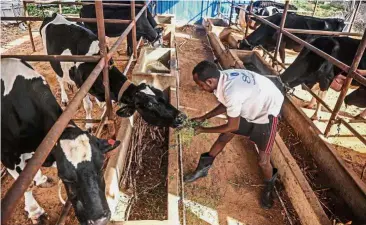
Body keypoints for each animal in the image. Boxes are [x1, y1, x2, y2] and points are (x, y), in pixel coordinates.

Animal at [1, 58, 121, 225]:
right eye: (65, 178)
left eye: (101, 167)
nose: (100, 220)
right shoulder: (8, 155)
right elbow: (24, 185)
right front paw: (35, 211)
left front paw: (40, 178)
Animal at [40, 13, 186, 130]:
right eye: (149, 104)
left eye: (162, 94)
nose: (181, 117)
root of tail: (53, 14)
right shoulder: (81, 86)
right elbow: (87, 106)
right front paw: (89, 124)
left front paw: (103, 112)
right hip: (53, 60)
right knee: (60, 78)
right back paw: (64, 98)